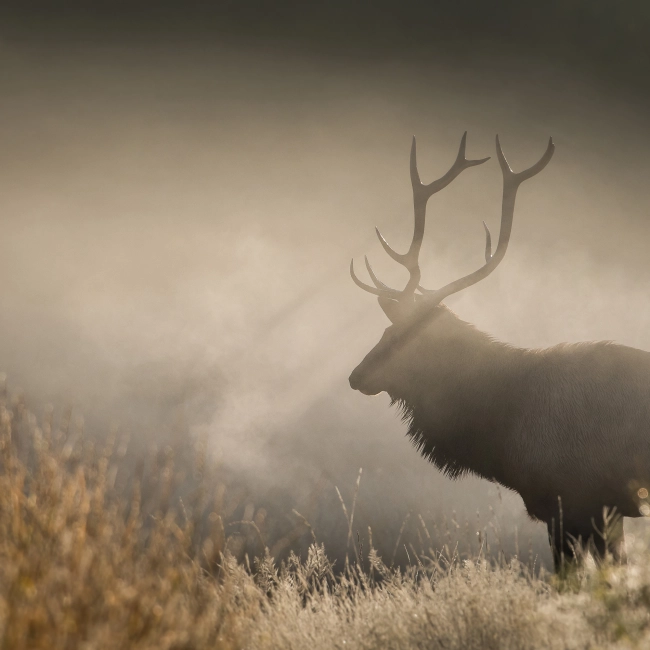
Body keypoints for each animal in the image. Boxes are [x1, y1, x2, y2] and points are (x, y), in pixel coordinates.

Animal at [350, 133, 648, 568]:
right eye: (387, 328)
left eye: (406, 338)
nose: (355, 376)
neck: (503, 429)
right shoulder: (601, 507)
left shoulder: (574, 499)